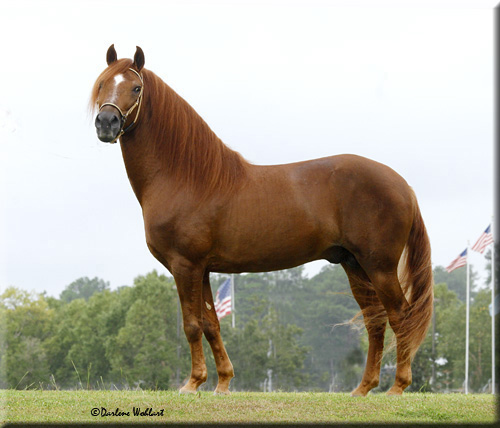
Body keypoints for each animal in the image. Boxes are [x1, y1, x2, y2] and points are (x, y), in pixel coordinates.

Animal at [91, 45, 434, 396]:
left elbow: (191, 324)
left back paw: (397, 387)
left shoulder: (184, 265)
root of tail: (403, 186)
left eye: (136, 88)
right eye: (102, 83)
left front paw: (192, 383)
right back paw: (363, 389)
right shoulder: (203, 269)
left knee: (400, 316)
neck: (186, 177)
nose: (106, 122)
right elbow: (211, 324)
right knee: (375, 320)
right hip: (355, 265)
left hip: (380, 267)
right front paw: (222, 382)